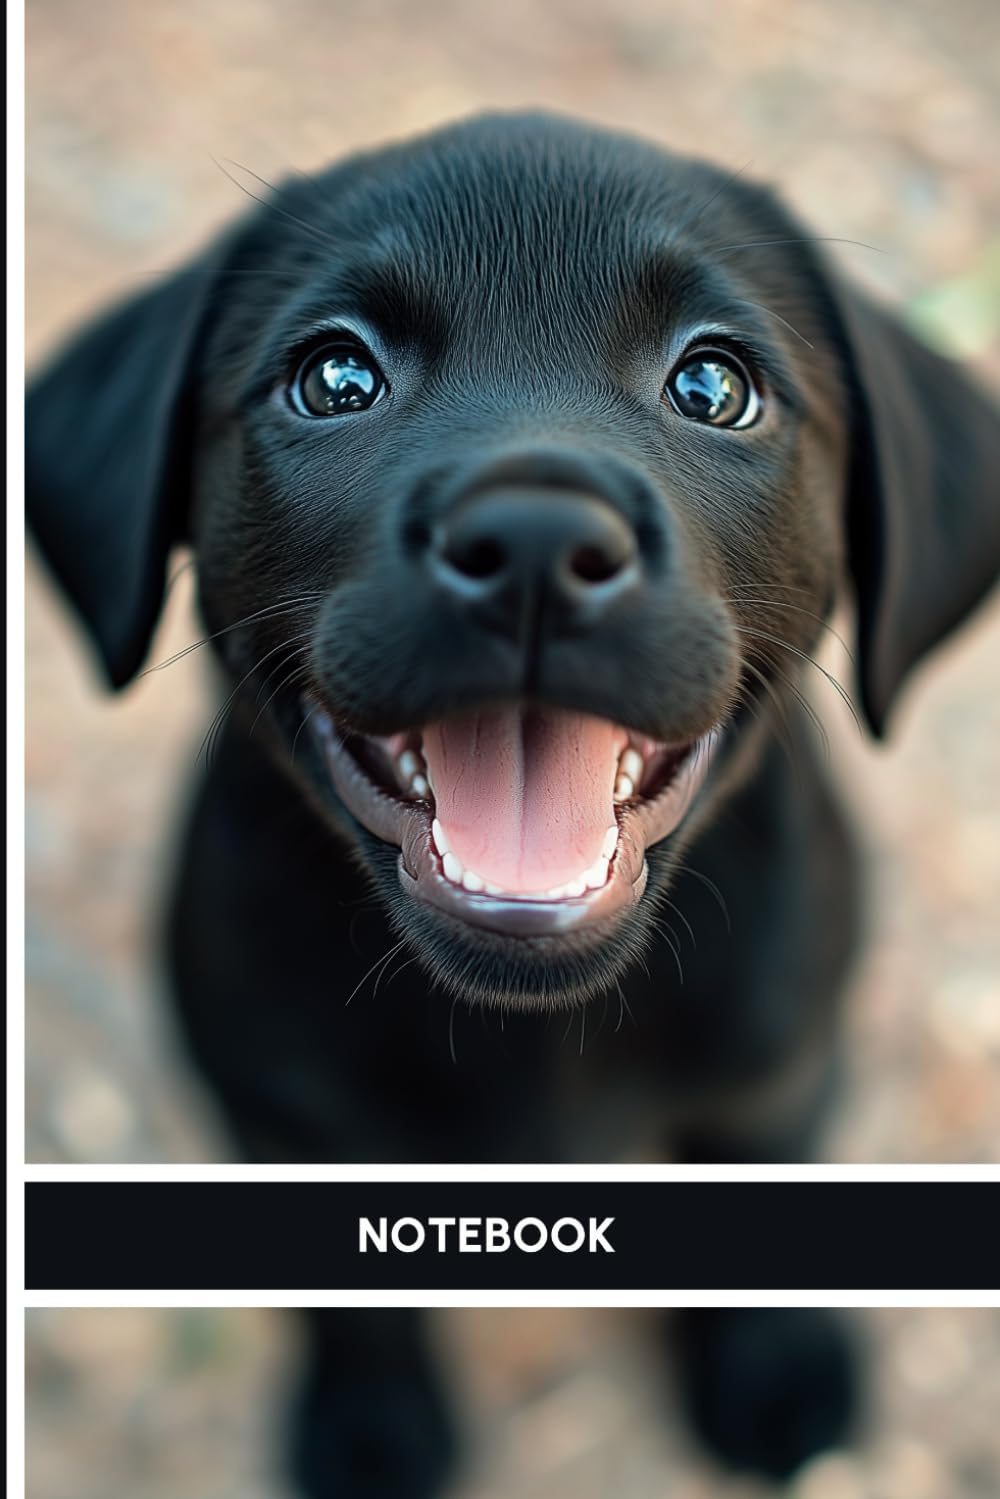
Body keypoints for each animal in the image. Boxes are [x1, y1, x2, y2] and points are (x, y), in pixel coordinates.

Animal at [27, 113, 995, 1487]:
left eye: (713, 387)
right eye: (335, 378)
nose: (536, 541)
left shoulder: (777, 1068)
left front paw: (775, 1365)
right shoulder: (278, 1113)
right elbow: (349, 1306)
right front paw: (370, 1424)